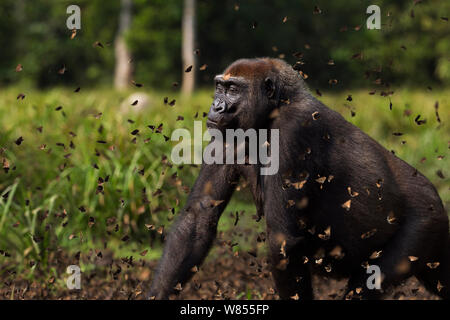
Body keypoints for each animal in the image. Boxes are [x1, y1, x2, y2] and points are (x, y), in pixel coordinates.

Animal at [147, 57, 446, 300]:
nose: (216, 106)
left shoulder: (293, 130)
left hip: (425, 221)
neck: (277, 105)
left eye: (233, 90)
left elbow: (284, 241)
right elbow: (199, 215)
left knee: (367, 284)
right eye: (219, 87)